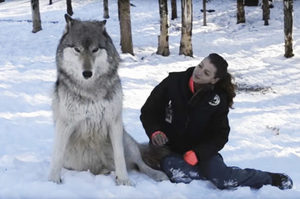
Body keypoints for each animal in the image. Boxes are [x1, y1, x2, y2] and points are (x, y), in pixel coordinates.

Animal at [48, 14, 168, 186]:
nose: (87, 73)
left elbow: (120, 157)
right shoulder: (65, 124)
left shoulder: (114, 122)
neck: (90, 89)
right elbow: (57, 155)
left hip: (127, 141)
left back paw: (157, 175)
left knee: (140, 164)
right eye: (77, 49)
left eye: (95, 49)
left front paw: (124, 181)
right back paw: (105, 172)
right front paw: (53, 180)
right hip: (72, 160)